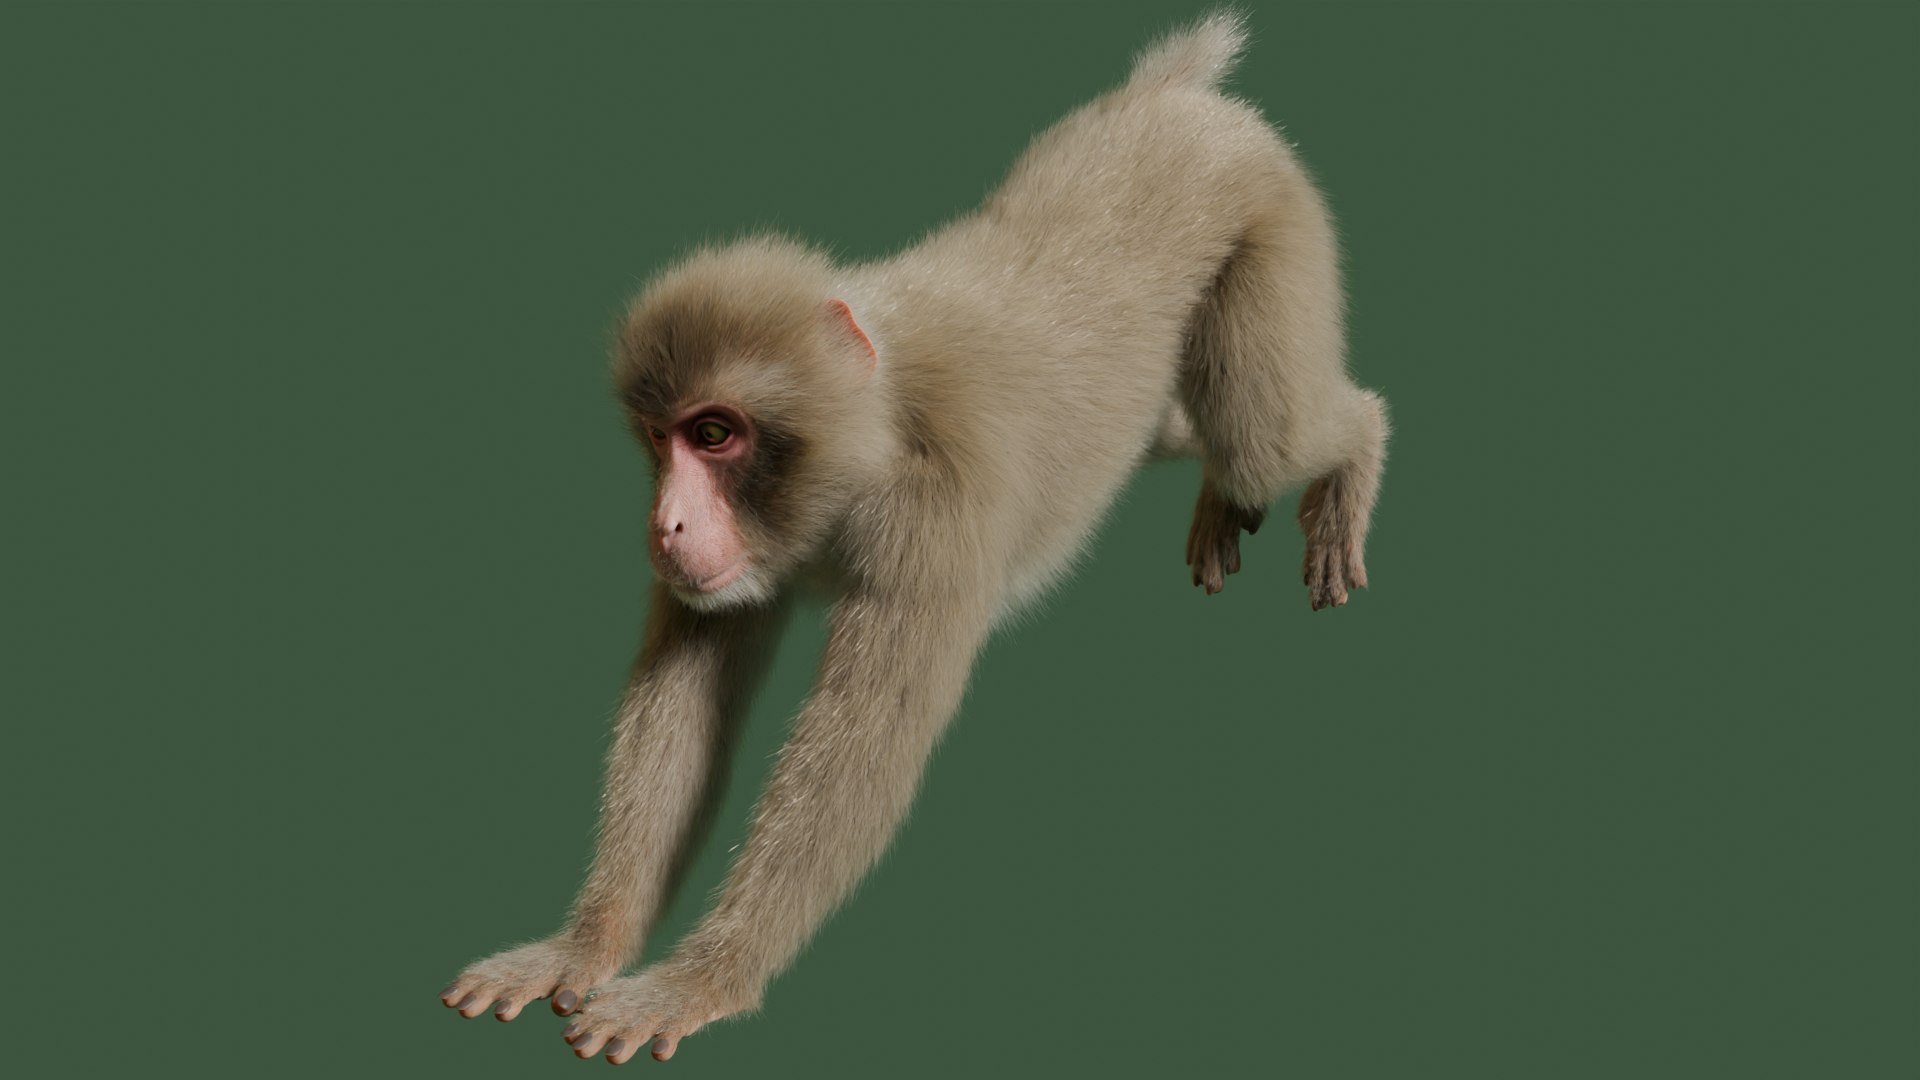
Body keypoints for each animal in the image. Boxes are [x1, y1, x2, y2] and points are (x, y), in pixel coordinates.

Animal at [439, 11, 1388, 1064]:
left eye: (715, 434)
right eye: (660, 438)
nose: (665, 521)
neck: (872, 434)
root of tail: (1173, 99)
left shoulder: (940, 510)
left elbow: (866, 746)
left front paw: (700, 981)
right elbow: (690, 688)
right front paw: (584, 944)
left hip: (1273, 215)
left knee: (1263, 434)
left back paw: (1353, 447)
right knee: (1195, 431)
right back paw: (1224, 490)